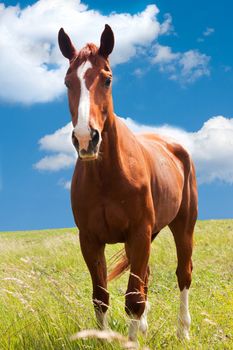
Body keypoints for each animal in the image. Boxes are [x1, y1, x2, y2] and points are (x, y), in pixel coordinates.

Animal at [57, 23, 198, 340]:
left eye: (107, 79)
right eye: (67, 82)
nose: (86, 139)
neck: (107, 176)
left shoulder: (139, 233)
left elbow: (133, 300)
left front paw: (131, 341)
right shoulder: (90, 240)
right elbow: (101, 297)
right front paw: (105, 339)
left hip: (183, 227)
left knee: (183, 274)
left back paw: (183, 331)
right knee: (144, 277)